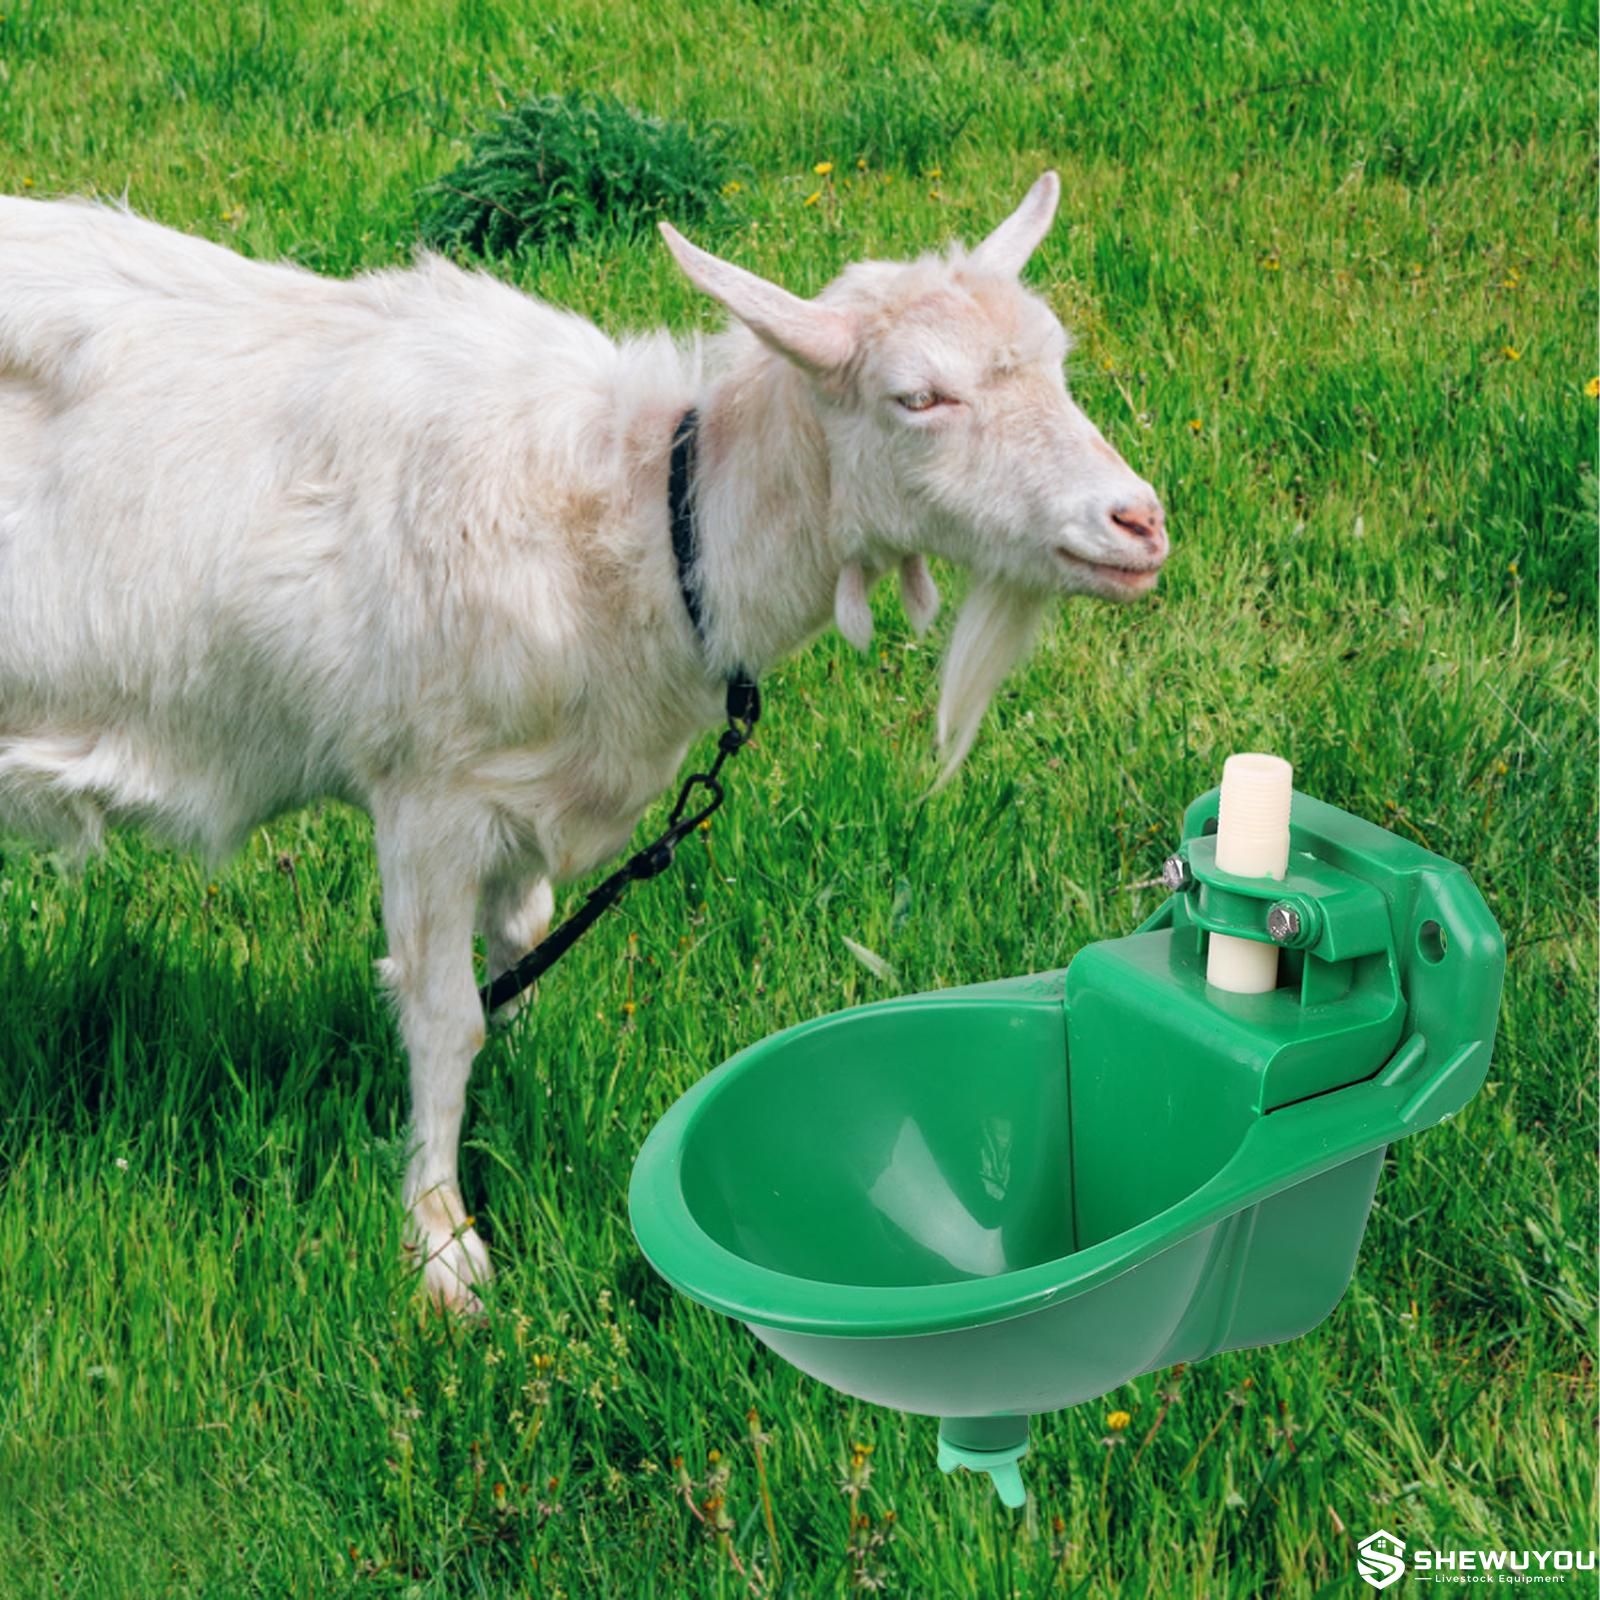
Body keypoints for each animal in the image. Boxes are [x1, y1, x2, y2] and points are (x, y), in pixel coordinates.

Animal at [0, 173, 1167, 1308]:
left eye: (1056, 360)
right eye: (918, 397)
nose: (1139, 523)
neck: (646, 518)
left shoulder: (522, 791)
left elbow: (519, 953)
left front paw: (511, 1104)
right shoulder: (425, 791)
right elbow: (443, 1017)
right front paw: (443, 1246)